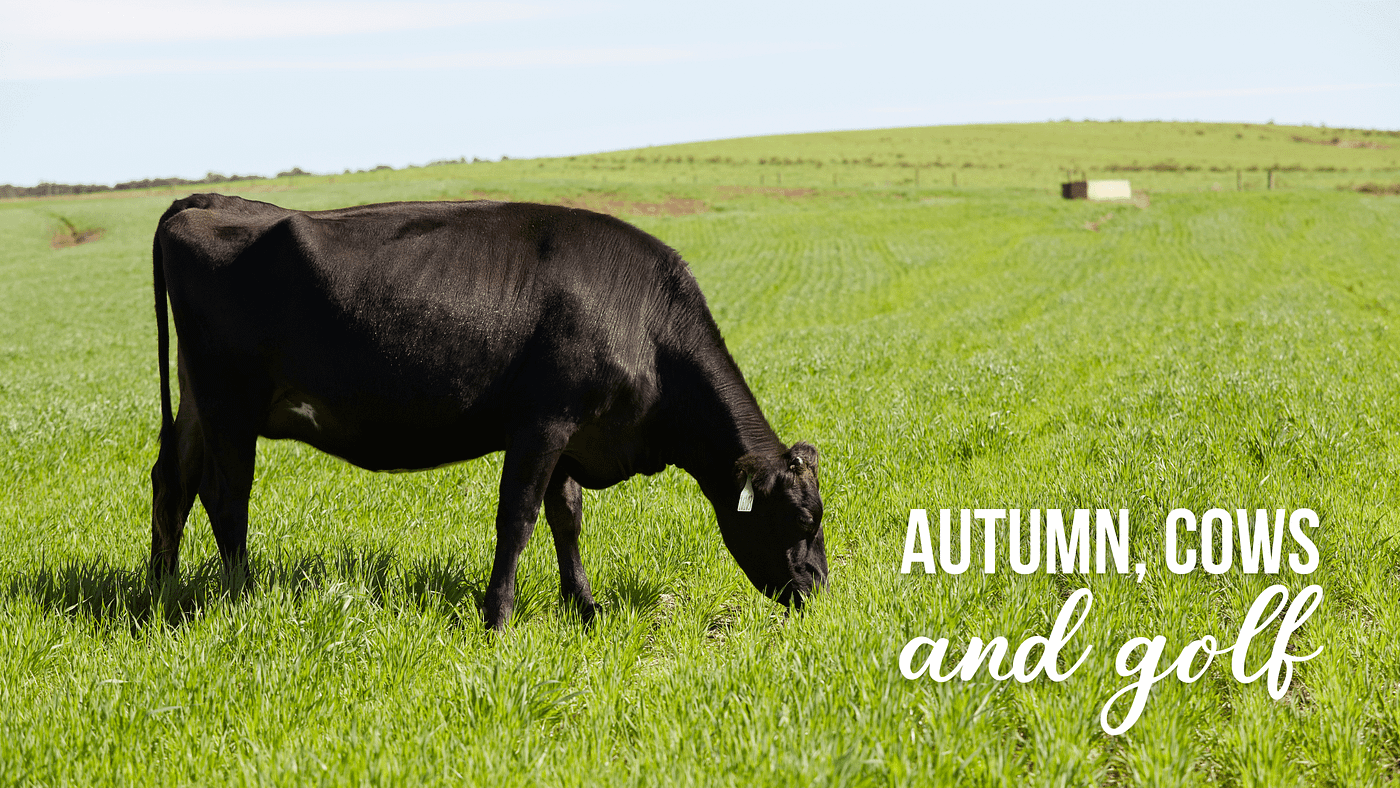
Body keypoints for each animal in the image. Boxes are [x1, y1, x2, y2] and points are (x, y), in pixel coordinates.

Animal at [149, 193, 825, 629]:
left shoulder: (571, 436)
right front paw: (497, 617)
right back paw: (240, 597)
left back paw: (159, 592)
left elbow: (567, 518)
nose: (818, 589)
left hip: (197, 404)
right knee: (225, 496)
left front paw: (585, 609)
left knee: (171, 482)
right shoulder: (543, 422)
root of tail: (211, 201)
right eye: (799, 519)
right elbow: (518, 520)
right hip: (229, 405)